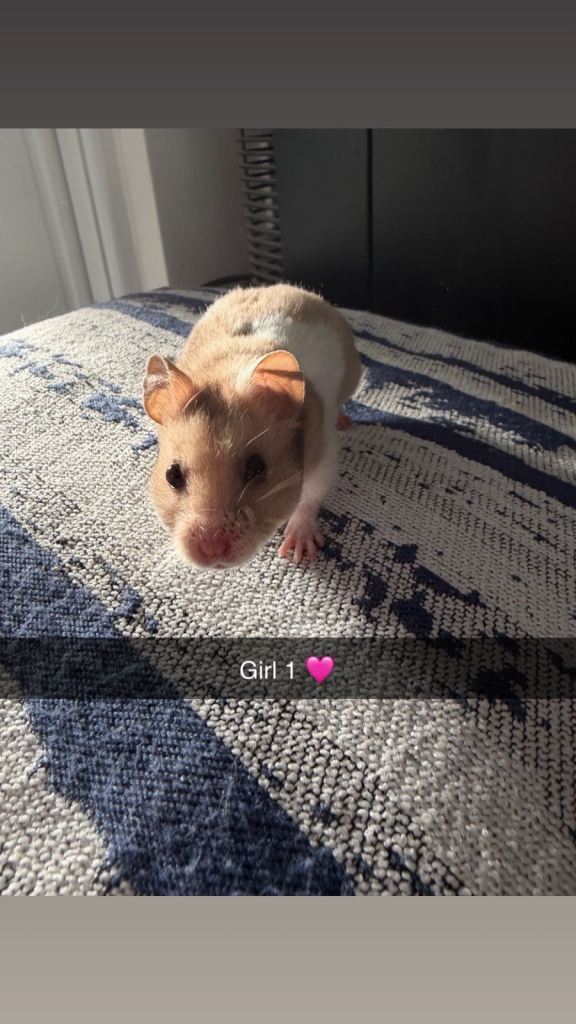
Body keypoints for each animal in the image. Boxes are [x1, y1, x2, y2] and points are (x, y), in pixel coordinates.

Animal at [142, 283, 362, 569]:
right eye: (172, 475)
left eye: (257, 468)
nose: (212, 551)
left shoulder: (324, 453)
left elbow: (310, 496)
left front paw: (299, 553)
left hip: (353, 374)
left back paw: (345, 421)